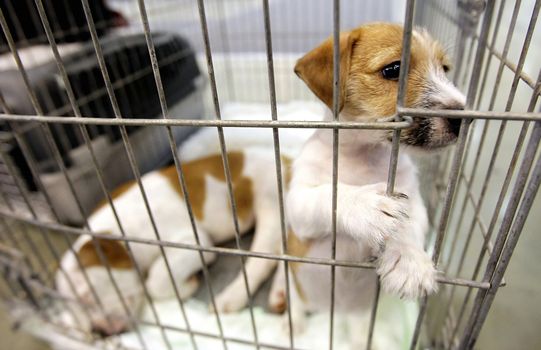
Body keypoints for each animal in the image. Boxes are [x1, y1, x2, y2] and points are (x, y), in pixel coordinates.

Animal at [56, 146, 284, 334]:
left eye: (88, 297)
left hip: (270, 208)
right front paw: (69, 321)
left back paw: (231, 298)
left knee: (264, 261)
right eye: (74, 309)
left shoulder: (194, 241)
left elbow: (156, 280)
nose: (100, 332)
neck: (116, 229)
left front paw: (187, 286)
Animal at [268, 23, 464, 344]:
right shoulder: (298, 205)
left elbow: (410, 225)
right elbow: (329, 194)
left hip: (360, 317)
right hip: (297, 282)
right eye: (394, 69)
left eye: (445, 69)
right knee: (295, 302)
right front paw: (366, 206)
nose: (462, 118)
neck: (364, 155)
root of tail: (333, 311)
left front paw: (409, 260)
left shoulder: (414, 200)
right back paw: (291, 323)